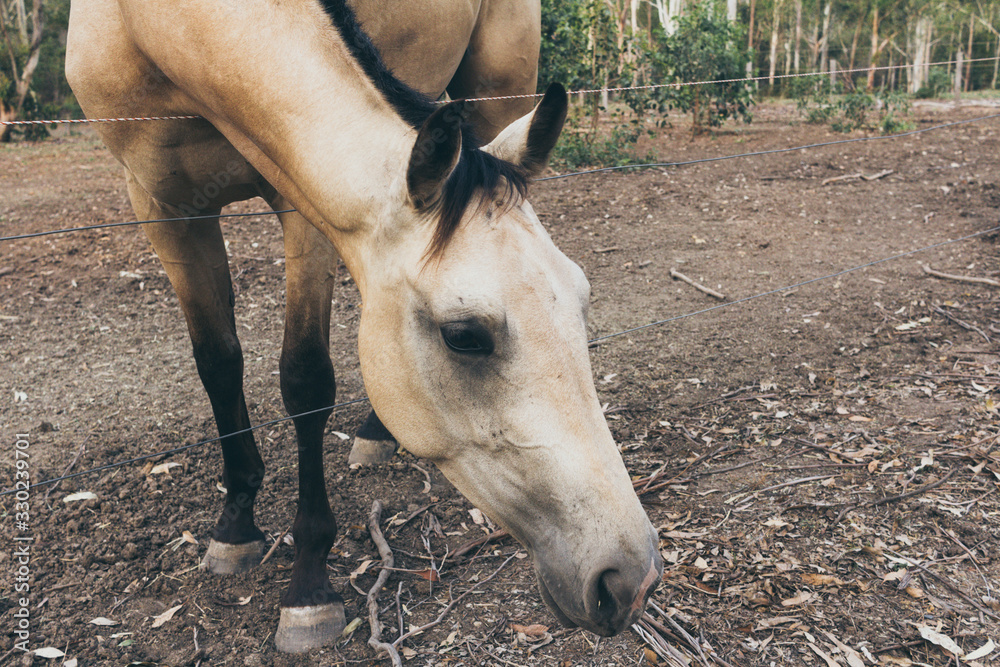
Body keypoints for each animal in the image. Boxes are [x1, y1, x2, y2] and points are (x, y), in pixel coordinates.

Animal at [65, 0, 662, 653]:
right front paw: (236, 527)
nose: (629, 578)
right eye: (464, 336)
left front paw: (307, 590)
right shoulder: (163, 207)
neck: (159, 29)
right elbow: (218, 363)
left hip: (496, 91)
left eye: (582, 301)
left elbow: (304, 381)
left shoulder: (301, 203)